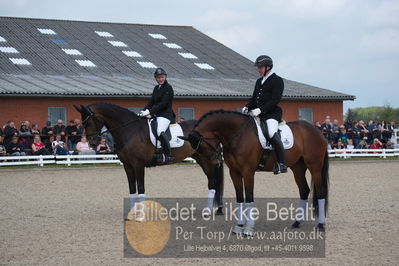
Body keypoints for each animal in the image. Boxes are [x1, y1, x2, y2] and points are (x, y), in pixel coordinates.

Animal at [74, 102, 225, 218]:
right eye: (83, 123)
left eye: (89, 121)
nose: (92, 143)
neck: (129, 130)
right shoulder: (127, 166)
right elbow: (131, 189)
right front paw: (132, 213)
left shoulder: (138, 165)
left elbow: (141, 188)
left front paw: (140, 215)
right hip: (201, 159)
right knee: (212, 183)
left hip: (208, 160)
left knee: (212, 183)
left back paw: (207, 212)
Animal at [182, 109, 332, 235]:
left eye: (201, 145)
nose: (215, 162)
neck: (238, 134)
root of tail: (317, 131)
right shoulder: (234, 172)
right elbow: (239, 198)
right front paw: (239, 226)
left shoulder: (248, 172)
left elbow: (249, 197)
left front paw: (249, 228)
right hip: (298, 167)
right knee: (304, 191)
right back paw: (296, 223)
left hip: (315, 166)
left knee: (320, 191)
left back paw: (320, 225)